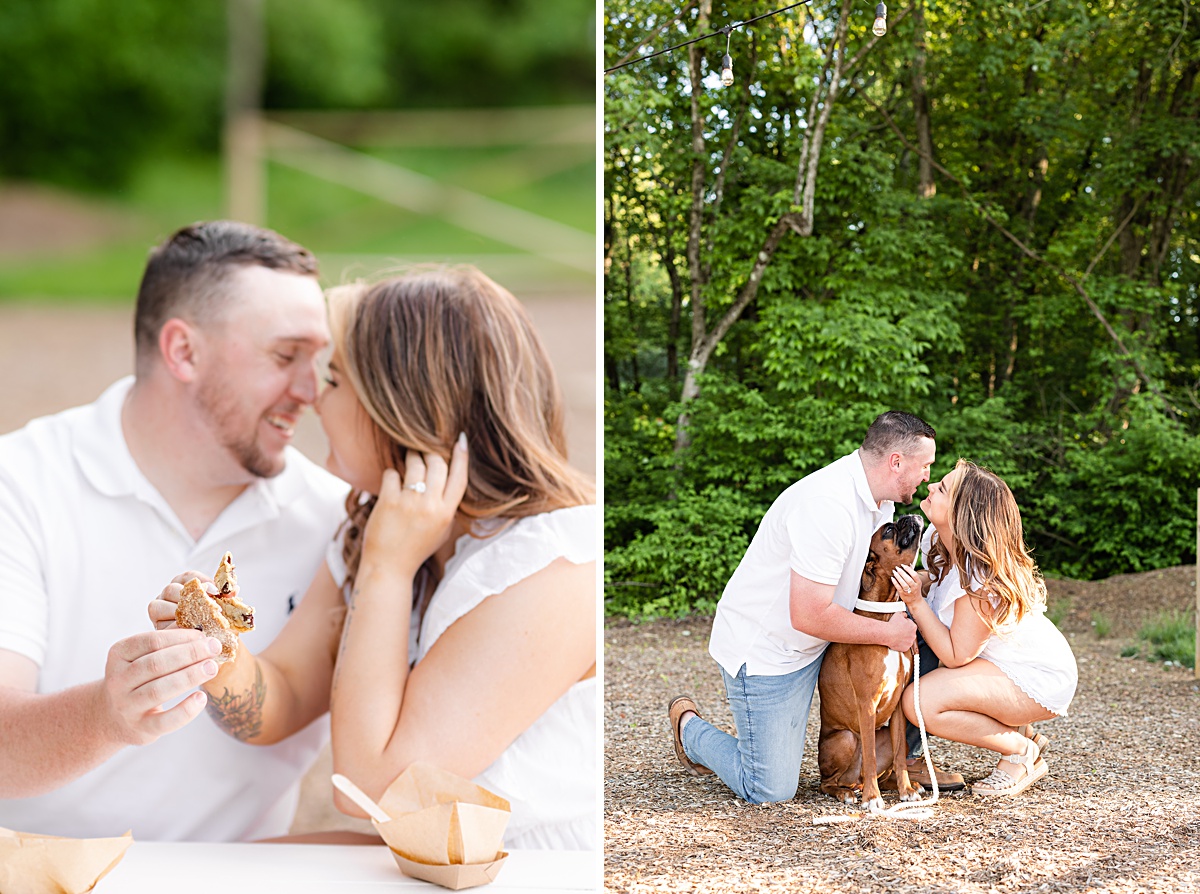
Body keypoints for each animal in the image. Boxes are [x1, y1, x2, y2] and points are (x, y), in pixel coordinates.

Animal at [820, 508, 921, 811]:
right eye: (888, 530)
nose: (910, 514)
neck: (885, 615)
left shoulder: (898, 706)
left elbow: (900, 754)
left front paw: (905, 790)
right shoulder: (867, 704)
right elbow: (871, 756)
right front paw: (873, 799)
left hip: (882, 733)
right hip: (845, 738)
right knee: (828, 783)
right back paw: (849, 793)